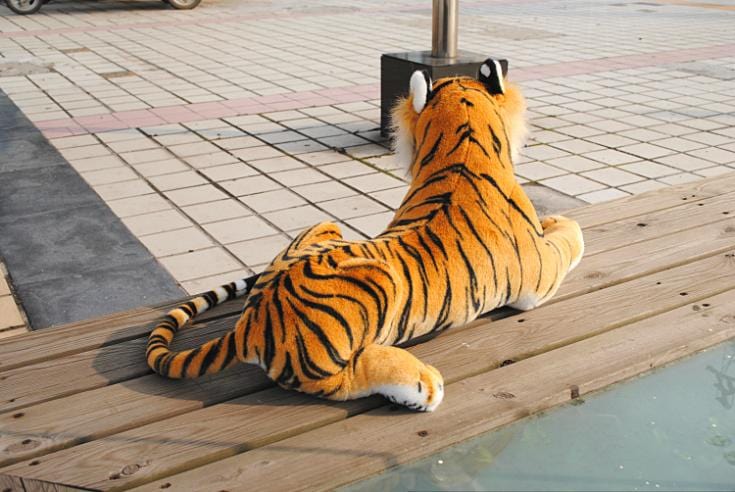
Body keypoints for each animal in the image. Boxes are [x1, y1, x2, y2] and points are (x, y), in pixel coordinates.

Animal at [146, 58, 584, 412]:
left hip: (324, 225)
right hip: (376, 281)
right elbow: (571, 237)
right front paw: (562, 225)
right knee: (341, 382)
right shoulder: (539, 279)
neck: (463, 145)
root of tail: (248, 323)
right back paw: (420, 384)